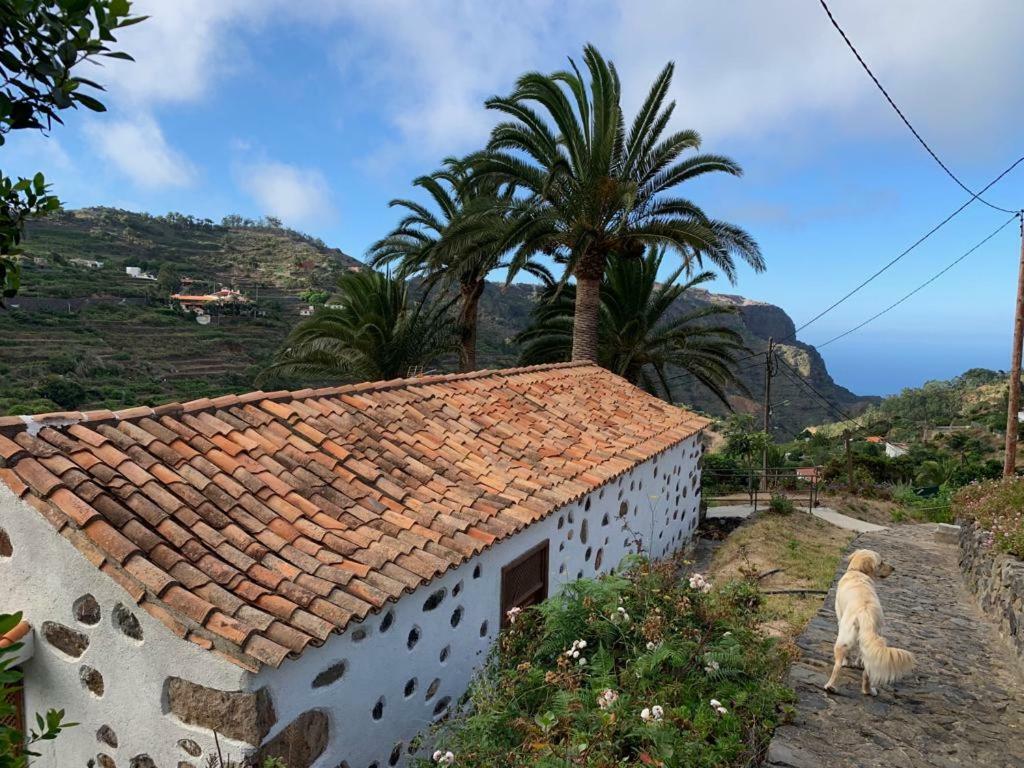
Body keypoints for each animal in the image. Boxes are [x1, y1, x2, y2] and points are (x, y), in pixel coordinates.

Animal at [823, 548, 913, 696]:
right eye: (881, 563)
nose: (893, 568)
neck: (857, 572)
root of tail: (865, 613)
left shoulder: (840, 618)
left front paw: (849, 662)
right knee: (865, 670)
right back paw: (862, 689)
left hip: (845, 638)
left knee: (839, 666)